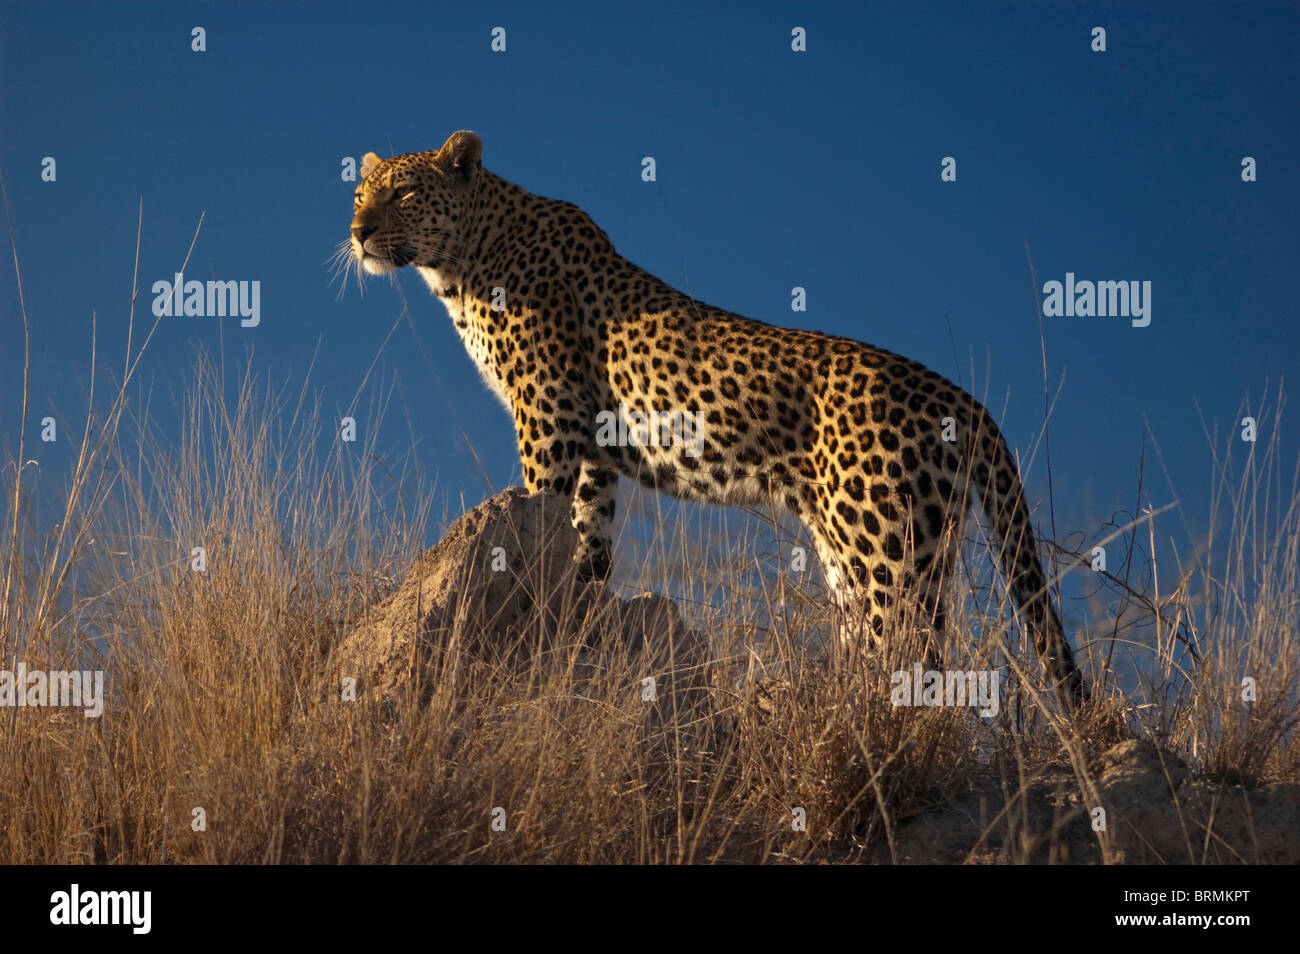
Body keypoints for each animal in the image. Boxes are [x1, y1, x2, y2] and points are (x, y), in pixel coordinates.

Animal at [345, 128, 1086, 712]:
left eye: (404, 193)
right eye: (359, 195)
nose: (357, 233)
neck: (462, 264)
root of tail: (959, 397)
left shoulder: (548, 416)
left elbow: (539, 500)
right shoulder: (593, 444)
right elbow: (586, 530)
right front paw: (583, 597)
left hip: (891, 549)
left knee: (919, 664)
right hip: (855, 549)